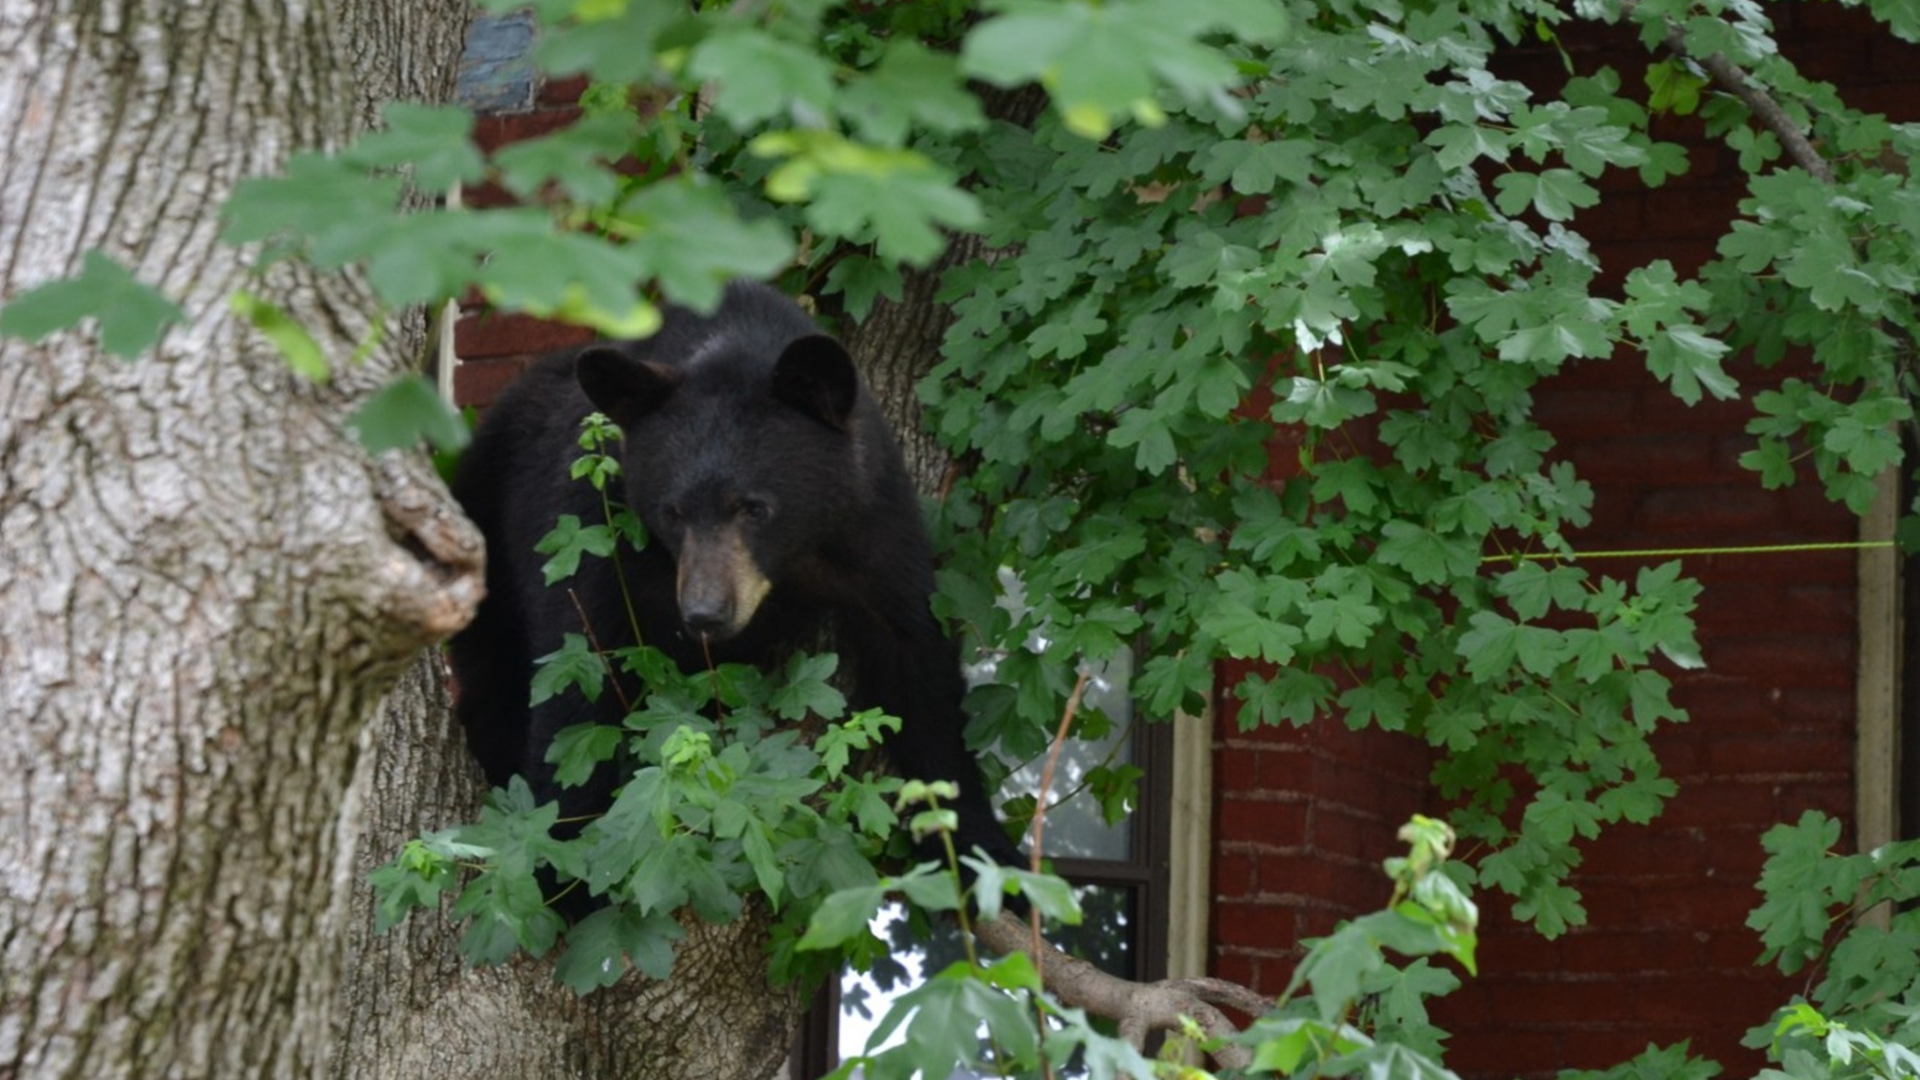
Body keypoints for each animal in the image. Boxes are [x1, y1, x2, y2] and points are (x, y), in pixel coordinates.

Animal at [447, 276, 1021, 891]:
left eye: (754, 508)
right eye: (672, 511)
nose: (704, 613)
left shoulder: (873, 521)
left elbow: (918, 664)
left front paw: (987, 855)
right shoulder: (593, 526)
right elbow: (579, 677)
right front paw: (565, 872)